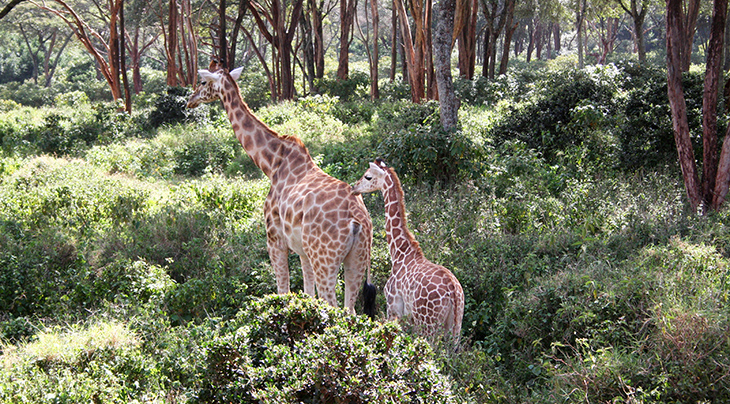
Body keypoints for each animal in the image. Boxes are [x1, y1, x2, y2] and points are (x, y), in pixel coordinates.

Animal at [186, 61, 376, 312]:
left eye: (202, 82)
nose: (190, 100)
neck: (272, 163)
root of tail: (358, 220)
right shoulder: (303, 250)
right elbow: (307, 293)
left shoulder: (274, 238)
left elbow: (283, 290)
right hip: (357, 258)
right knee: (350, 309)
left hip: (325, 260)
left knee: (333, 306)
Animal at [352, 159, 464, 340]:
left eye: (368, 176)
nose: (354, 187)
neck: (399, 252)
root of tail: (453, 291)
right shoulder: (409, 316)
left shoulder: (394, 307)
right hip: (455, 324)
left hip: (428, 323)